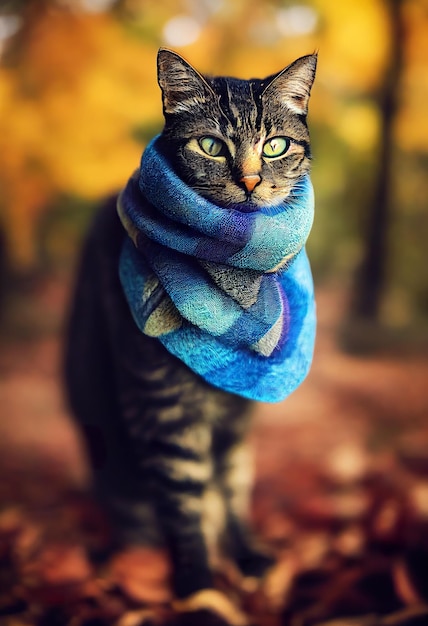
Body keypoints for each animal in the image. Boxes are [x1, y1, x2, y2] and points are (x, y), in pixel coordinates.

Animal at [64, 46, 318, 620]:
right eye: (211, 146)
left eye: (275, 145)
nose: (250, 180)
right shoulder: (163, 409)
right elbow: (184, 503)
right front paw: (199, 588)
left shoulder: (236, 416)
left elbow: (233, 486)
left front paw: (245, 556)